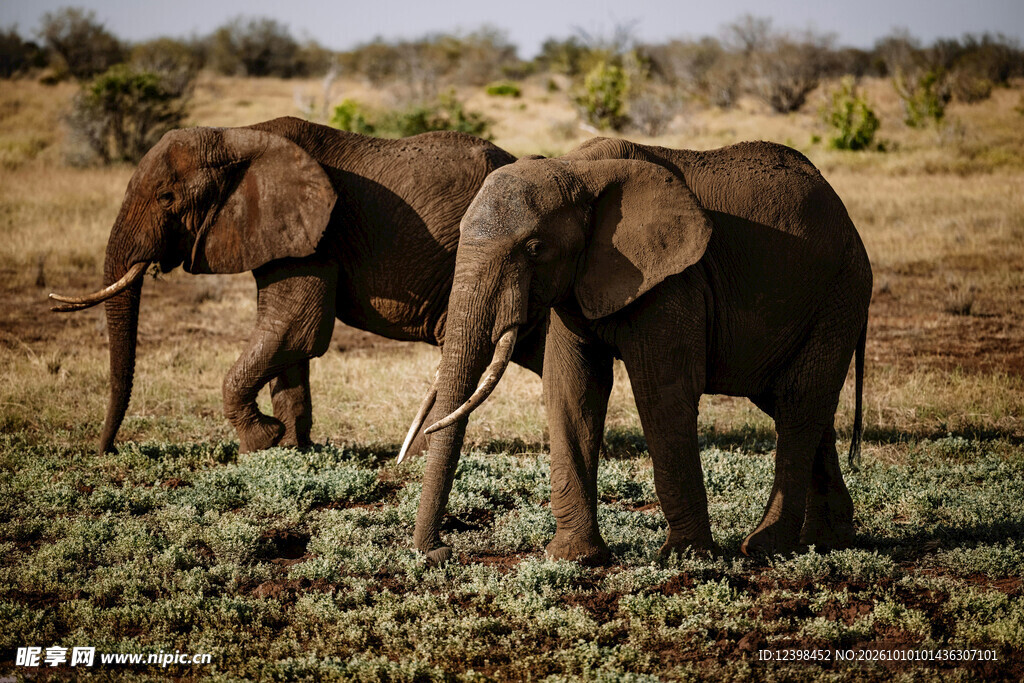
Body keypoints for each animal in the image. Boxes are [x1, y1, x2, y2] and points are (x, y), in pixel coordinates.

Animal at [49, 117, 546, 455]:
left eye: (167, 198)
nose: (107, 450)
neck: (241, 136)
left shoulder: (317, 236)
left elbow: (294, 330)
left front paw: (261, 439)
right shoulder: (283, 237)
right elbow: (287, 341)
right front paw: (290, 447)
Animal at [404, 136, 871, 565]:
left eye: (535, 248)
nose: (441, 552)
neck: (578, 168)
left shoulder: (674, 280)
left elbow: (662, 393)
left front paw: (685, 558)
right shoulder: (577, 284)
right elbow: (571, 390)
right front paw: (573, 558)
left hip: (839, 296)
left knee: (797, 406)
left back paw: (765, 547)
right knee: (797, 405)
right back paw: (827, 542)